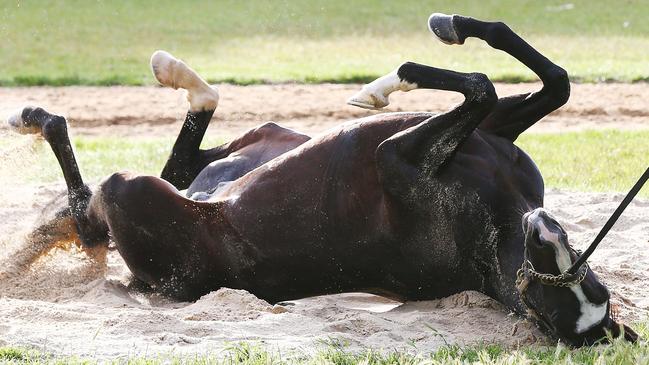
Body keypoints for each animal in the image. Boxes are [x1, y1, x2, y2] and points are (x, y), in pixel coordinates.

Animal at [10, 13, 636, 344]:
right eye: (578, 274)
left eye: (550, 303)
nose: (545, 228)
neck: (495, 225)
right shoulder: (494, 132)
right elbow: (552, 80)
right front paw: (448, 29)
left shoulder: (395, 157)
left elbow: (481, 85)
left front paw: (386, 83)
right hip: (262, 139)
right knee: (183, 157)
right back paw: (171, 76)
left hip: (132, 191)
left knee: (90, 210)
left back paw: (38, 119)